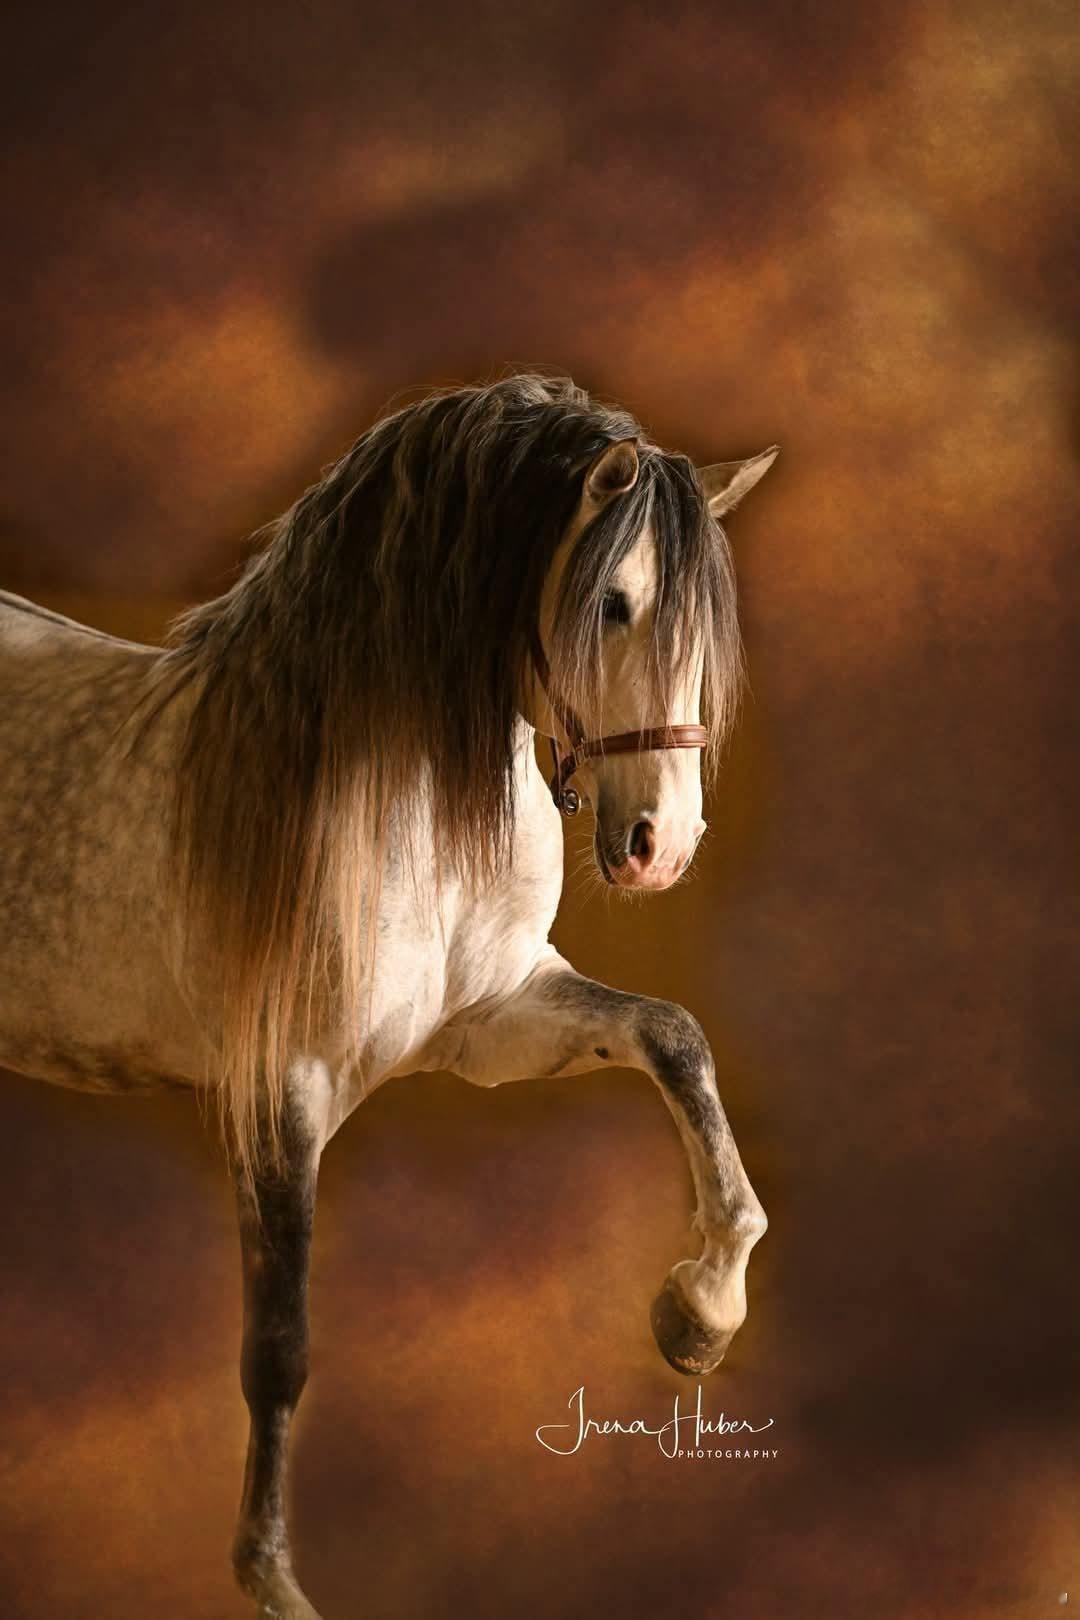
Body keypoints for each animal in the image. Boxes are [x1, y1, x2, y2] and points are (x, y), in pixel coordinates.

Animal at [0, 372, 778, 1620]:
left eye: (706, 630)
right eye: (613, 603)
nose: (660, 845)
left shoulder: (496, 1022)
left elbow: (674, 1039)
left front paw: (701, 1312)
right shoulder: (284, 1094)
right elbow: (279, 1346)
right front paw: (270, 1576)